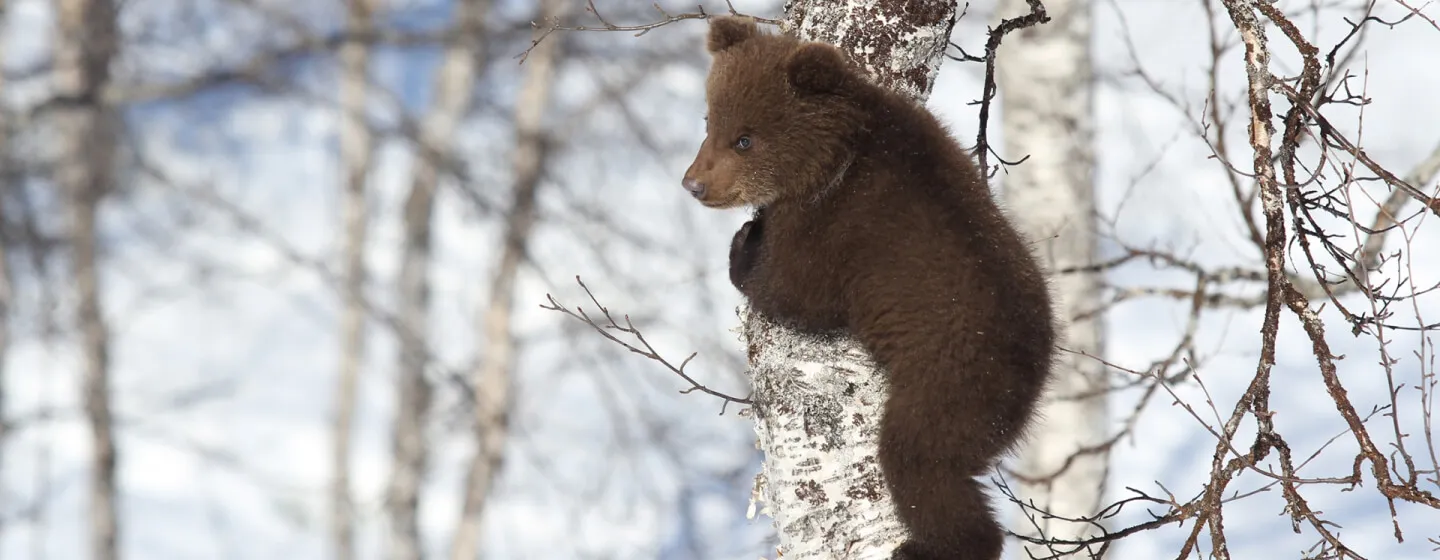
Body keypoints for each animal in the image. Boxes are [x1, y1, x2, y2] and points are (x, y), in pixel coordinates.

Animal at [681, 16, 1058, 560]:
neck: (834, 155)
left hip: (949, 382)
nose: (694, 184)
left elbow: (793, 293)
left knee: (919, 460)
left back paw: (927, 546)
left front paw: (744, 242)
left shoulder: (833, 228)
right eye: (710, 121)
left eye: (745, 140)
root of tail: (1036, 371)